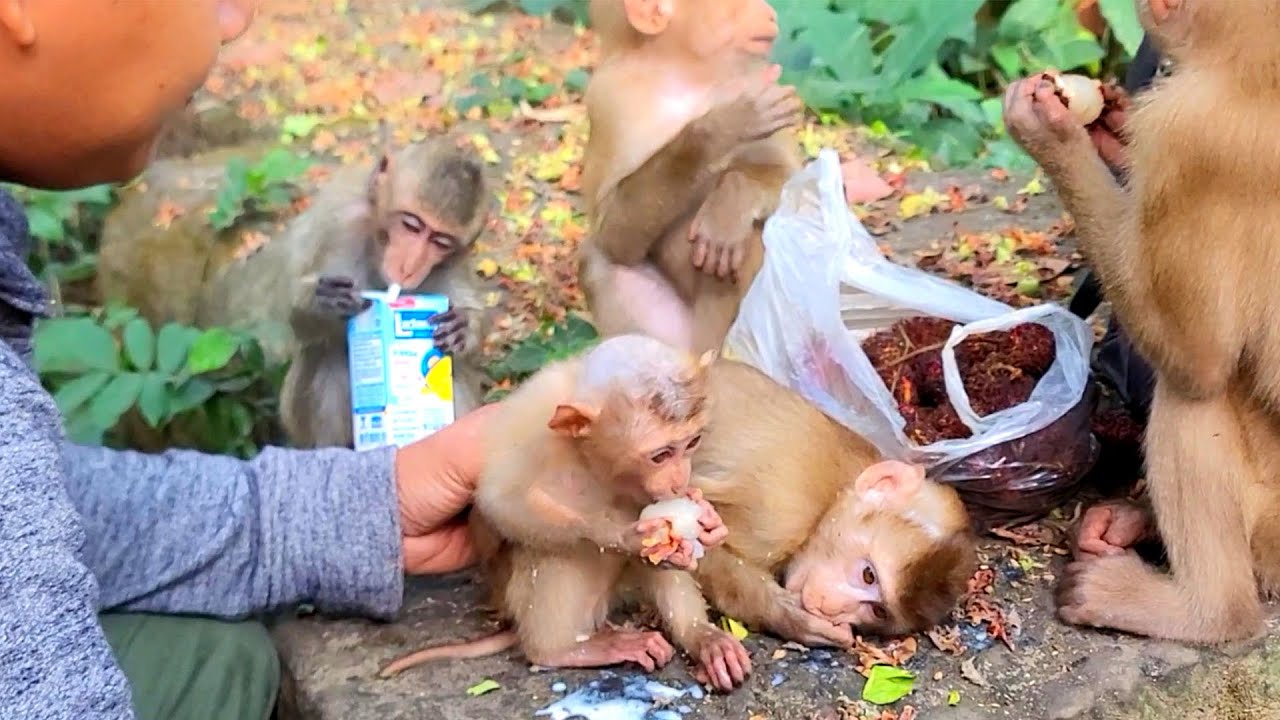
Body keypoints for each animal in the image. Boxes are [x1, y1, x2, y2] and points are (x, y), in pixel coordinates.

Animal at [197, 133, 492, 449]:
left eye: (440, 242)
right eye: (412, 225)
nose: (409, 266)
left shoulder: (456, 257)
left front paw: (463, 326)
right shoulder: (340, 221)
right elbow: (291, 316)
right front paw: (321, 303)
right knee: (327, 355)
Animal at [377, 334, 754, 692]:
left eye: (692, 443)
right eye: (660, 455)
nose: (679, 482)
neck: (593, 453)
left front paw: (709, 522)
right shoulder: (528, 424)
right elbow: (500, 501)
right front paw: (622, 536)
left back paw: (700, 635)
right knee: (554, 551)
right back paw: (560, 650)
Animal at [577, 0, 804, 354]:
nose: (769, 12)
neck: (685, 74)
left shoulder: (755, 73)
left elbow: (791, 176)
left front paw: (732, 202)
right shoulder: (610, 101)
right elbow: (613, 237)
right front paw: (725, 125)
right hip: (680, 337)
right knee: (596, 260)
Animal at [687, 360, 977, 647]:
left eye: (878, 610)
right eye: (868, 575)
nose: (830, 608)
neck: (830, 497)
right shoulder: (778, 514)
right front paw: (790, 617)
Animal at [1003, 0, 1280, 642]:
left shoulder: (1189, 134)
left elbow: (1197, 360)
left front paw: (1053, 134)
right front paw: (1109, 126)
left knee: (1191, 392)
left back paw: (1205, 612)